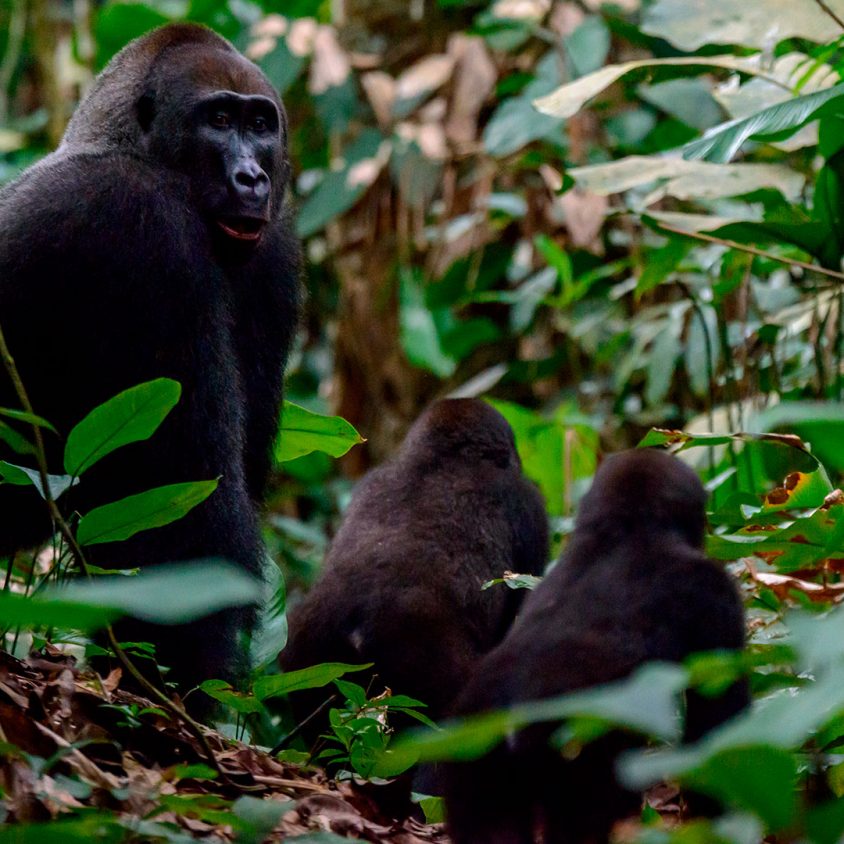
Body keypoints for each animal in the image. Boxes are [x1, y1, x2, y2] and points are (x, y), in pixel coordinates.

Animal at [0, 26, 302, 696]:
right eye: (218, 120)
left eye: (260, 124)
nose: (252, 178)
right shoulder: (143, 228)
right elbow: (185, 527)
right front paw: (175, 692)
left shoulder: (273, 252)